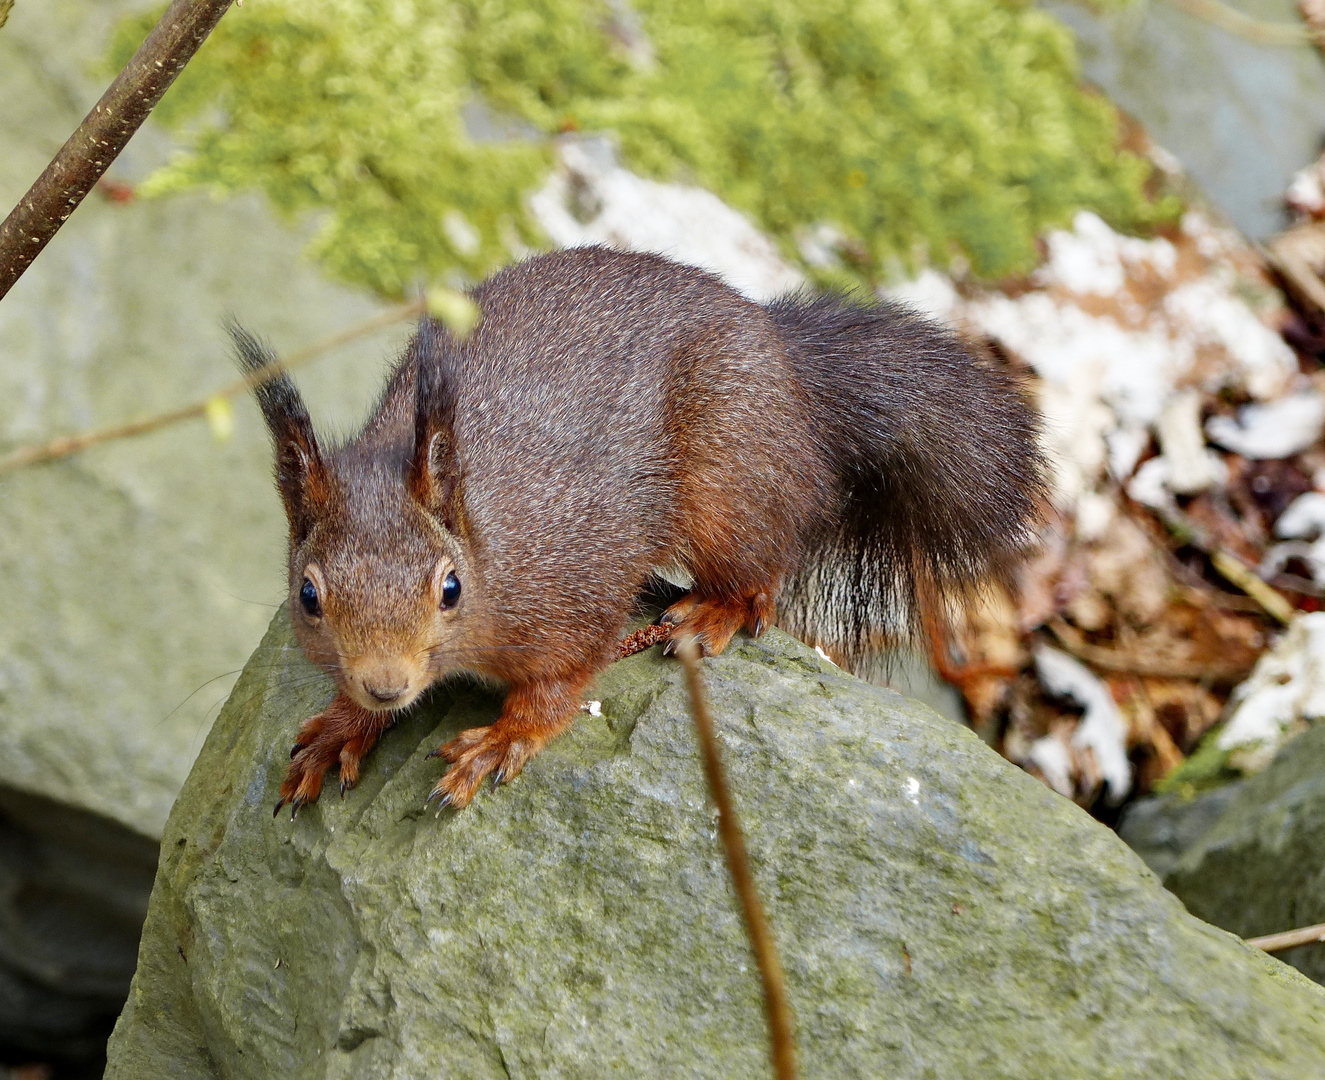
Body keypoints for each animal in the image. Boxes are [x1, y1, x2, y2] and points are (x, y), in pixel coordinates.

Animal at [235, 246, 1044, 821]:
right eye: (308, 595)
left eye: (451, 588)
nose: (384, 683)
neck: (488, 541)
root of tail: (788, 363)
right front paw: (344, 725)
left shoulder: (577, 580)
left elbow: (563, 682)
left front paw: (502, 738)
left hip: (727, 484)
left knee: (762, 573)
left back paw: (713, 610)